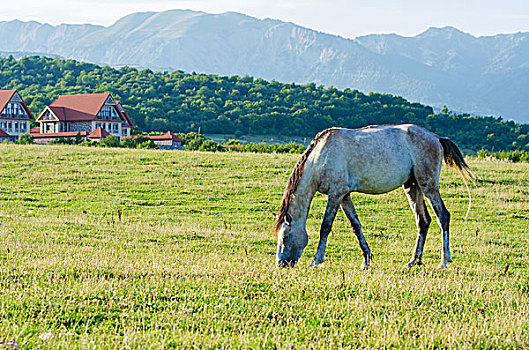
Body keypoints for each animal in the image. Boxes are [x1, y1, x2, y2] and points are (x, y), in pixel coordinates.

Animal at [272, 124, 474, 270]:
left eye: (285, 237)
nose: (281, 264)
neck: (321, 156)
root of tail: (437, 138)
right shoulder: (344, 195)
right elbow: (356, 226)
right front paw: (366, 260)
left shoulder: (335, 193)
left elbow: (325, 227)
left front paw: (316, 261)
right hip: (412, 186)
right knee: (423, 221)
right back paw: (414, 261)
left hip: (428, 185)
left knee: (443, 216)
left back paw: (444, 261)